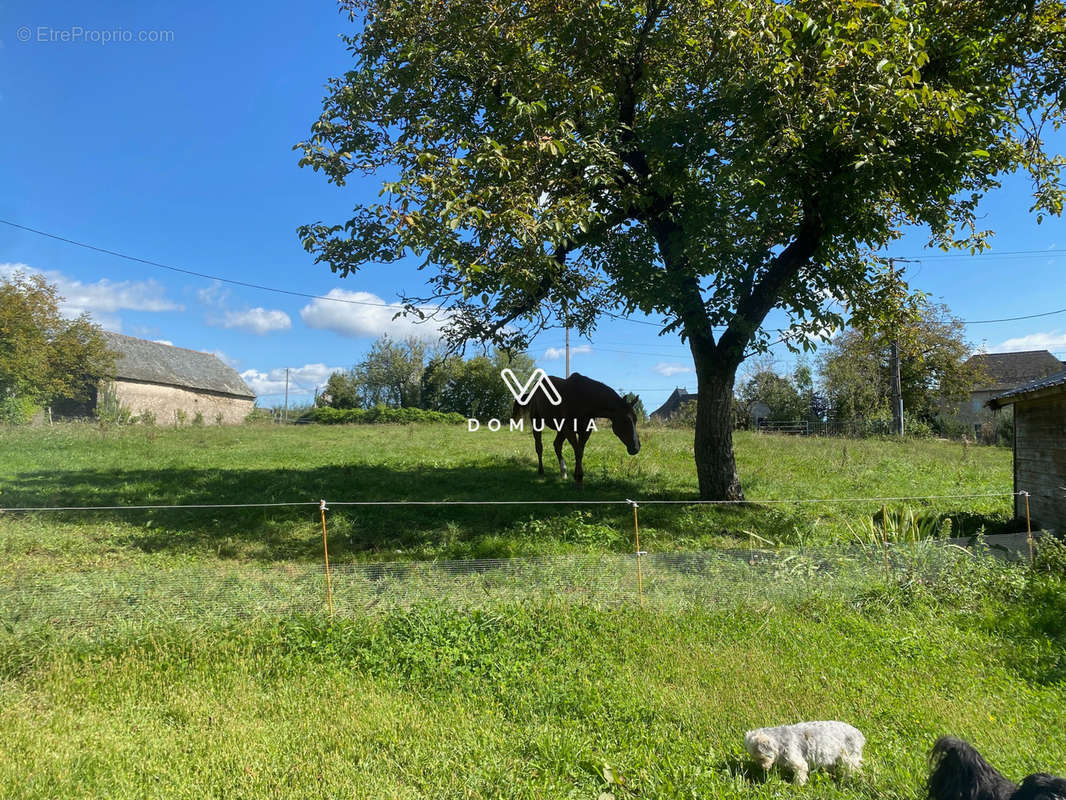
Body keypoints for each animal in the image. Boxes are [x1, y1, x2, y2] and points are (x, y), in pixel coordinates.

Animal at [509, 371, 639, 488]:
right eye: (625, 421)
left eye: (636, 420)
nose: (636, 448)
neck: (583, 399)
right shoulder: (569, 430)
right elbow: (577, 452)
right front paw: (578, 477)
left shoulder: (585, 431)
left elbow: (580, 452)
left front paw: (578, 478)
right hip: (538, 422)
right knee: (539, 447)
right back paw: (541, 471)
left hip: (560, 429)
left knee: (557, 445)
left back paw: (563, 472)